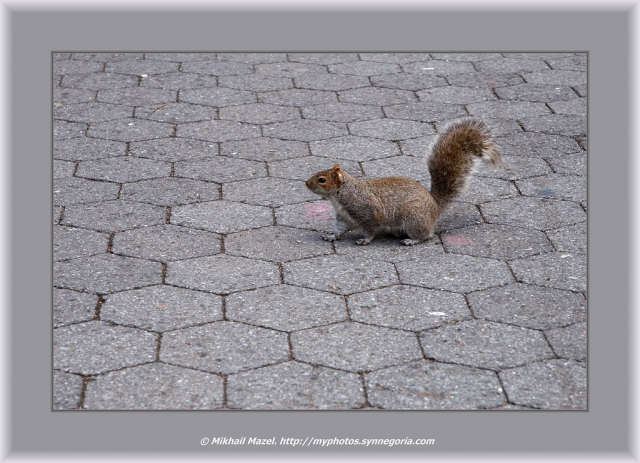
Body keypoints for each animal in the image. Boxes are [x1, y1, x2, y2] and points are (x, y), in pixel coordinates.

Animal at [308, 117, 502, 246]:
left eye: (322, 180)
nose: (306, 183)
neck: (341, 194)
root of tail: (434, 207)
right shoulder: (343, 216)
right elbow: (339, 229)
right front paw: (331, 236)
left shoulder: (367, 212)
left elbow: (370, 229)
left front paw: (364, 239)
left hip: (414, 220)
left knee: (427, 235)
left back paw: (412, 240)